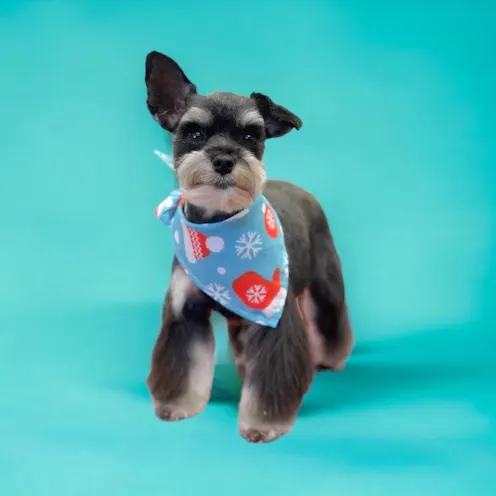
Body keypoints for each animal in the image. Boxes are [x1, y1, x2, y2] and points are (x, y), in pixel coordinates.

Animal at [143, 50, 352, 444]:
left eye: (250, 135)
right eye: (194, 132)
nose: (225, 159)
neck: (218, 227)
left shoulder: (274, 319)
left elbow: (271, 376)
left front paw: (263, 423)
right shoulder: (184, 312)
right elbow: (185, 364)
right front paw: (176, 405)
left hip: (325, 283)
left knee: (330, 320)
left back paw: (332, 358)